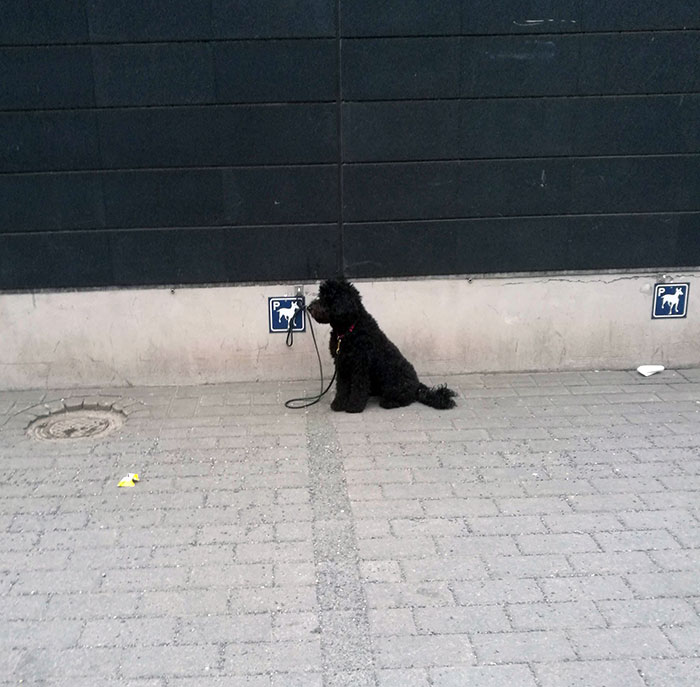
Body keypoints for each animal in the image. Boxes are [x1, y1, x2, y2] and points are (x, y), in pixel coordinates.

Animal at [306, 280, 454, 414]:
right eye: (320, 295)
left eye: (327, 298)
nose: (309, 308)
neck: (349, 330)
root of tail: (417, 385)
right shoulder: (342, 365)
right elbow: (342, 387)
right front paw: (338, 404)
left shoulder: (360, 366)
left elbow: (358, 387)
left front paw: (354, 406)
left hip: (393, 384)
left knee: (407, 398)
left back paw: (389, 402)